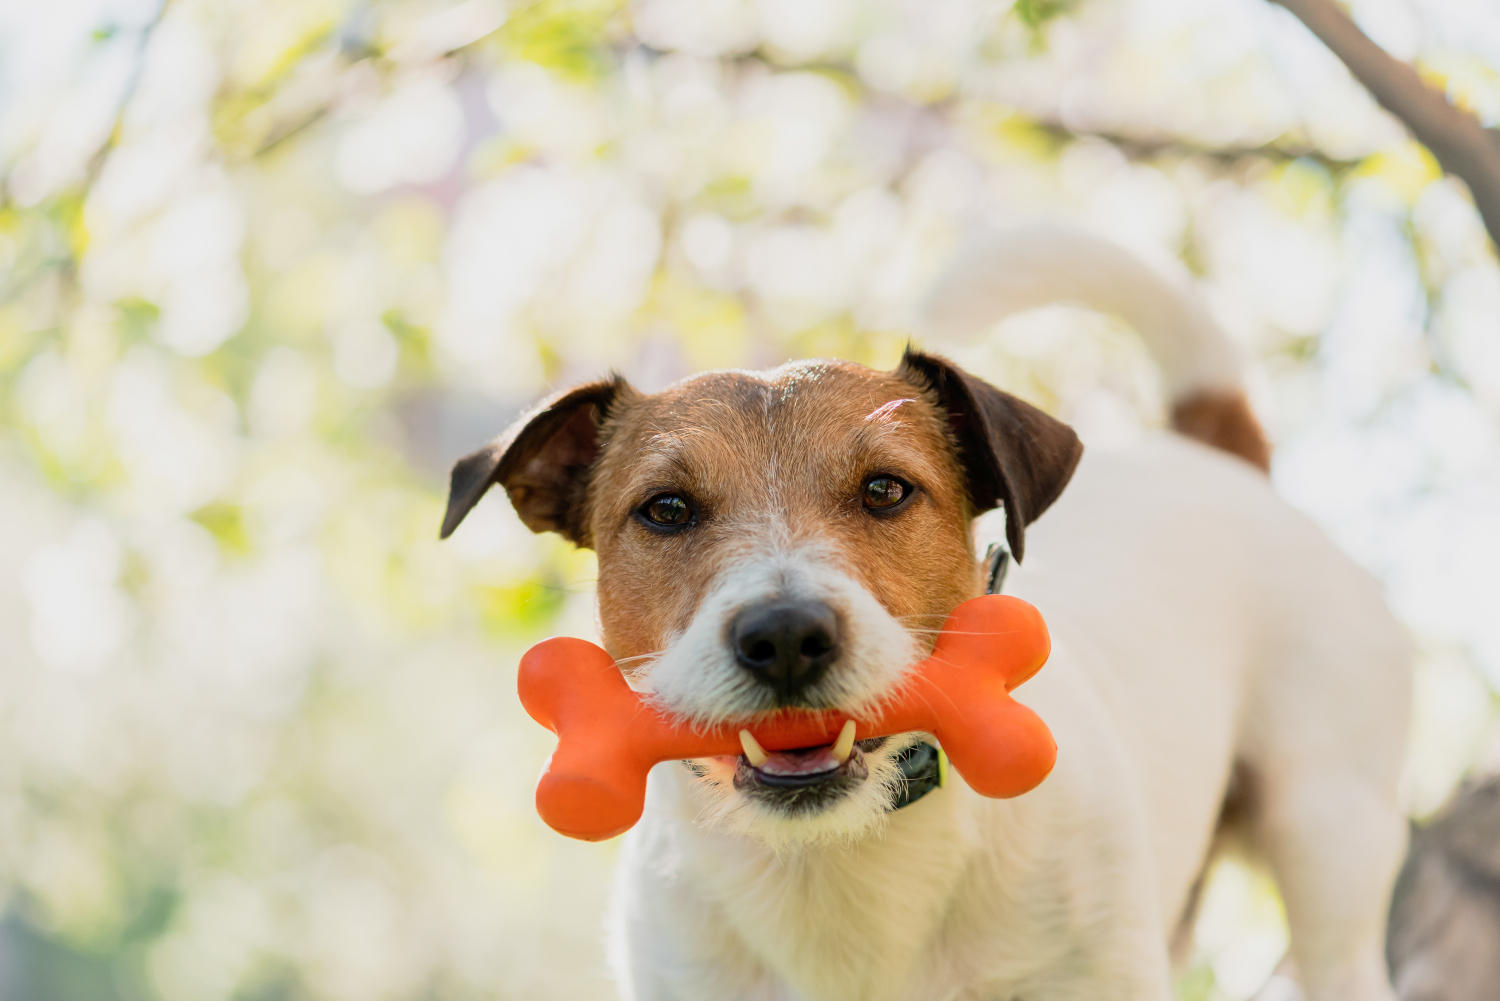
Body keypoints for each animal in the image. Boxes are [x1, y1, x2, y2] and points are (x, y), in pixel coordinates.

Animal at [441, 229, 1404, 1001]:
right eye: (667, 509)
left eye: (885, 490)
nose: (784, 637)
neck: (838, 862)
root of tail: (1213, 458)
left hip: (1327, 836)